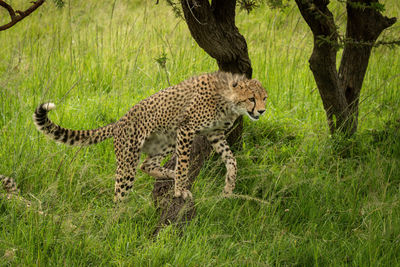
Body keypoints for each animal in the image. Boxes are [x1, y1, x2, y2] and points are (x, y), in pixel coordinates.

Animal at [32, 71, 268, 201]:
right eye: (251, 98)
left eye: (264, 98)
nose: (262, 111)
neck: (229, 101)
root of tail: (119, 122)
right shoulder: (187, 129)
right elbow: (184, 163)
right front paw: (180, 191)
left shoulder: (214, 134)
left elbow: (232, 160)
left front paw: (228, 188)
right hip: (129, 159)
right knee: (120, 192)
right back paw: (119, 220)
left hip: (166, 140)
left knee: (147, 165)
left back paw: (169, 174)